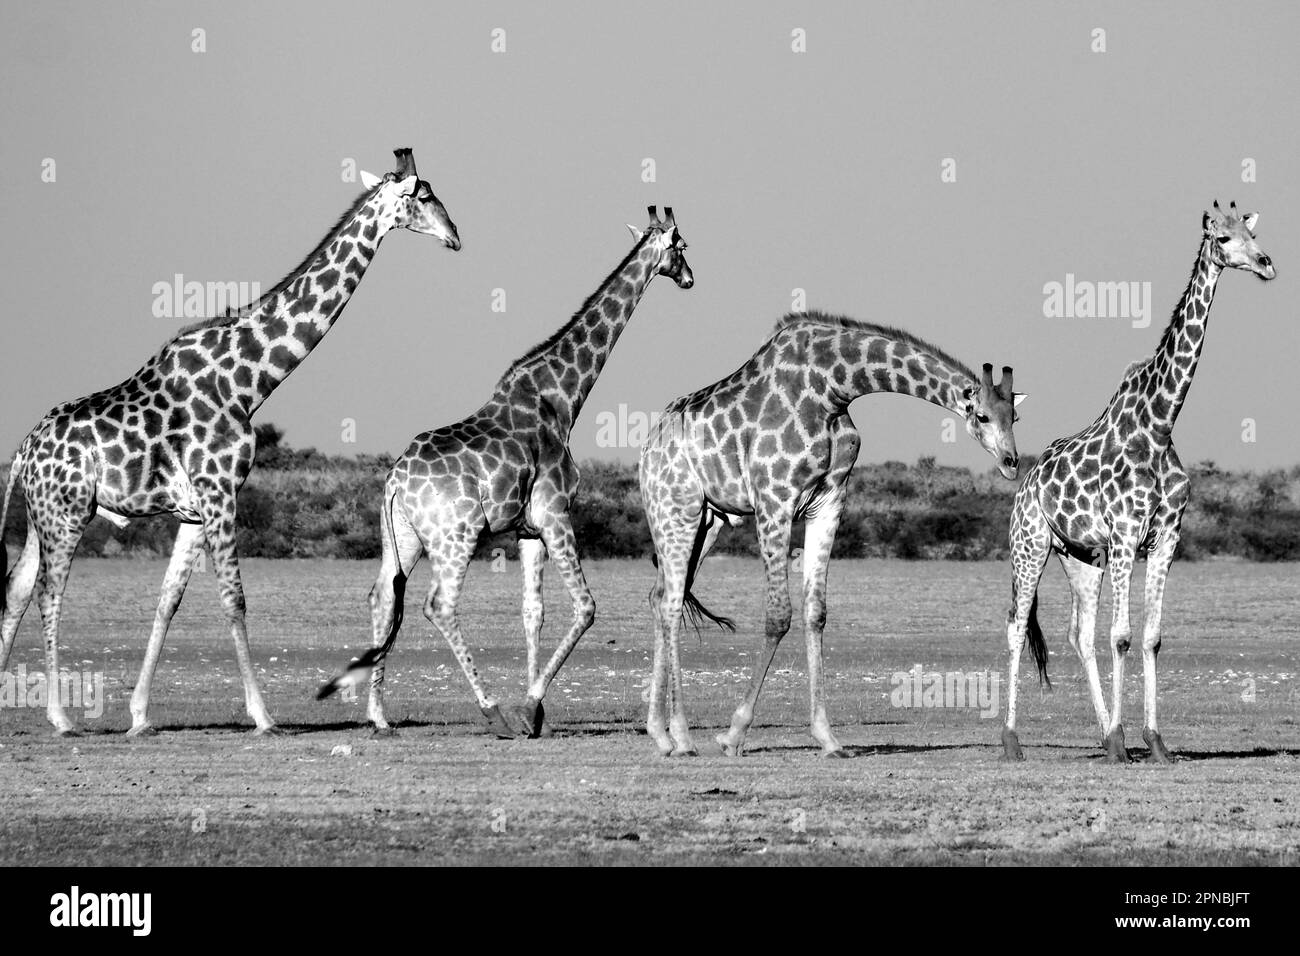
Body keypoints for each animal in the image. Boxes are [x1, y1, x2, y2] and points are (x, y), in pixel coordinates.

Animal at [0, 148, 460, 736]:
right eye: (424, 195)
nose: (455, 236)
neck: (249, 381)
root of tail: (22, 452)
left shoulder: (195, 509)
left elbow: (168, 601)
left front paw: (140, 715)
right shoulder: (220, 491)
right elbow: (233, 600)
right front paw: (263, 715)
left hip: (41, 514)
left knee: (17, 588)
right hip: (68, 511)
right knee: (48, 592)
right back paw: (61, 717)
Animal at [319, 207, 693, 738]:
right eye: (682, 246)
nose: (689, 277)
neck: (562, 399)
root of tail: (394, 483)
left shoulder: (527, 529)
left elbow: (533, 612)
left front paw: (537, 714)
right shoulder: (556, 513)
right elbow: (585, 607)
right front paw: (527, 706)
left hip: (403, 537)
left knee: (382, 597)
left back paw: (379, 716)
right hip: (455, 536)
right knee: (439, 605)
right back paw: (491, 710)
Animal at [638, 311, 1025, 757]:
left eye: (1014, 417)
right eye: (982, 415)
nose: (1011, 462)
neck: (832, 389)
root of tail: (649, 444)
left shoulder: (828, 502)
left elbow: (816, 613)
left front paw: (827, 736)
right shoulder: (774, 499)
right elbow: (778, 616)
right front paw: (734, 733)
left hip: (709, 521)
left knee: (661, 596)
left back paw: (660, 733)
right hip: (675, 510)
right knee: (670, 603)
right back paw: (683, 737)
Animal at [1001, 202, 1275, 764]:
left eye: (1251, 231)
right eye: (1222, 237)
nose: (1265, 263)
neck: (1160, 424)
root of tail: (1025, 482)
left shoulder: (1167, 536)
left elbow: (1150, 637)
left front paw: (1153, 741)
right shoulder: (1127, 533)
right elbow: (1123, 636)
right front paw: (1126, 740)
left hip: (1080, 556)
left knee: (1079, 635)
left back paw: (1105, 735)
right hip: (1030, 544)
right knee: (1018, 626)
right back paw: (1013, 740)